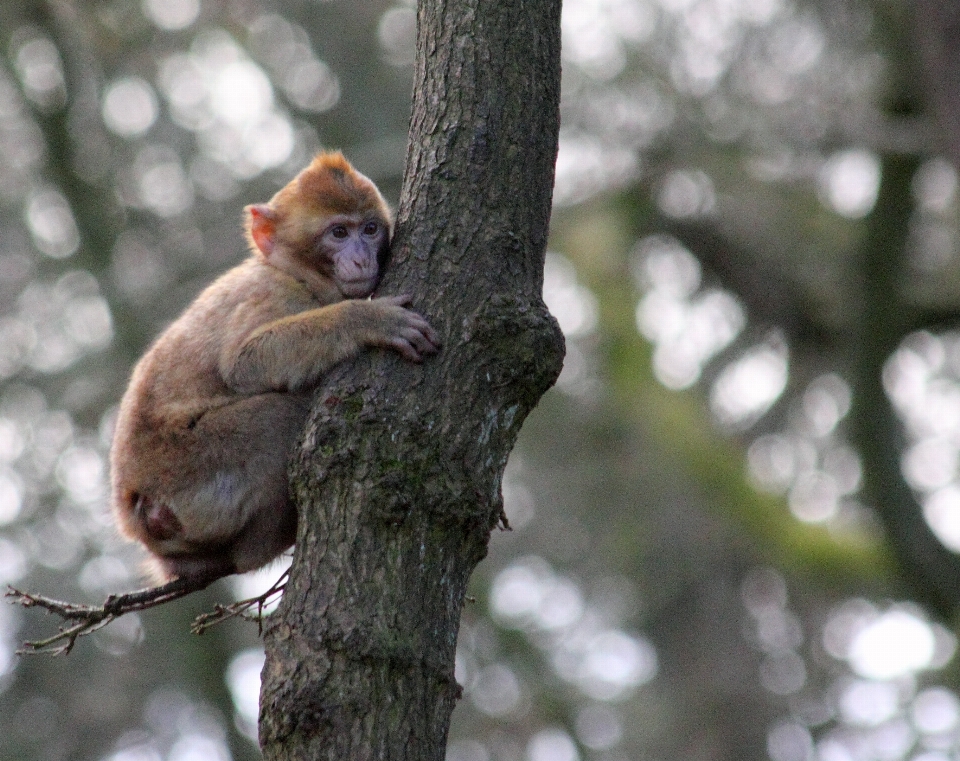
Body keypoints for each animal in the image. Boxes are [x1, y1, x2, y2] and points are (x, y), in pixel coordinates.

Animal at [110, 154, 440, 580]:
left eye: (369, 229)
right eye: (338, 232)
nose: (361, 257)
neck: (294, 273)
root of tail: (135, 510)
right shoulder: (274, 296)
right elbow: (243, 364)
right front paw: (367, 320)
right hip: (188, 467)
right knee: (280, 416)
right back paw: (266, 543)